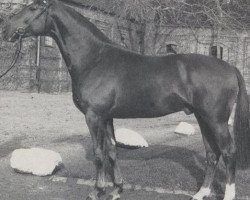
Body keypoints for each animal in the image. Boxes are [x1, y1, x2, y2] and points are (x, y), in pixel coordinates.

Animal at [2, 0, 250, 200]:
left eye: (33, 8)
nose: (6, 29)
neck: (95, 59)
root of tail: (229, 67)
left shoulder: (94, 116)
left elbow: (99, 153)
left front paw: (97, 191)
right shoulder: (107, 117)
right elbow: (112, 151)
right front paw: (116, 190)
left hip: (216, 120)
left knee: (228, 152)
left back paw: (227, 195)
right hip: (202, 118)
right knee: (212, 154)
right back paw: (201, 193)